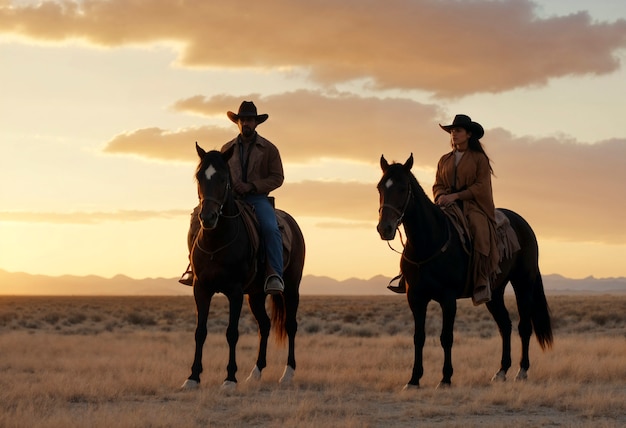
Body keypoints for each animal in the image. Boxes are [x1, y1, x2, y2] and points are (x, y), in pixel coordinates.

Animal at [180, 142, 304, 390]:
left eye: (223, 178)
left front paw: (229, 378)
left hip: (291, 287)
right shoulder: (201, 289)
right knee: (264, 325)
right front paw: (193, 377)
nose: (207, 217)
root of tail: (292, 224)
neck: (217, 240)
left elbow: (232, 333)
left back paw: (287, 373)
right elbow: (200, 331)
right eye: (199, 176)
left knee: (290, 325)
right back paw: (255, 372)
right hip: (256, 294)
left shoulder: (235, 291)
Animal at [372, 154, 548, 388]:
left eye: (402, 188)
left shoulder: (448, 299)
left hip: (523, 284)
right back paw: (501, 371)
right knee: (505, 325)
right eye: (380, 187)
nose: (385, 229)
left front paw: (446, 378)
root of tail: (524, 225)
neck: (427, 242)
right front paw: (414, 379)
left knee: (524, 327)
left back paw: (522, 371)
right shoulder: (416, 298)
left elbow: (446, 337)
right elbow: (419, 337)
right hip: (494, 292)